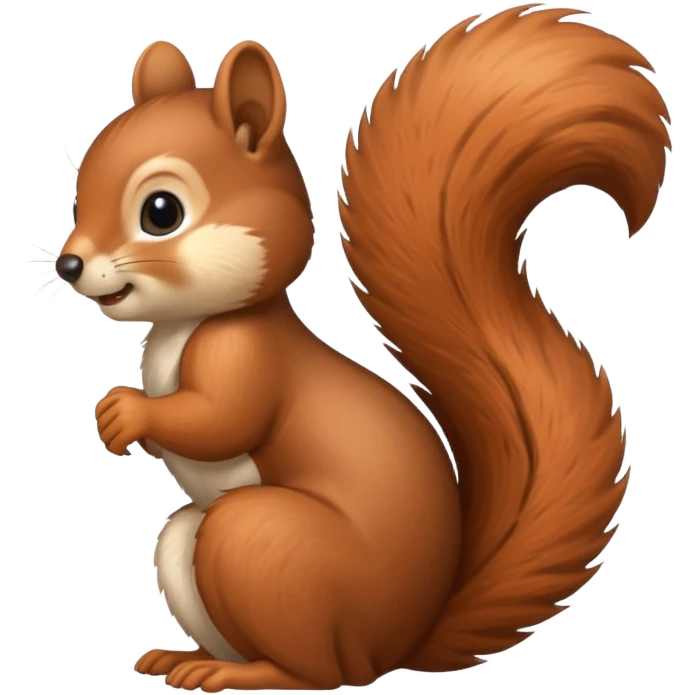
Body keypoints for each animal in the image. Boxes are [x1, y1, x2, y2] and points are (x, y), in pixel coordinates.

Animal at [56, 4, 670, 692]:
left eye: (161, 211)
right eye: (79, 191)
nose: (69, 264)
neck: (187, 323)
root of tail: (400, 643)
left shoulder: (246, 355)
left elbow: (220, 420)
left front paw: (126, 410)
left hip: (256, 541)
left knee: (321, 672)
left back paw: (247, 674)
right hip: (195, 546)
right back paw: (185, 658)